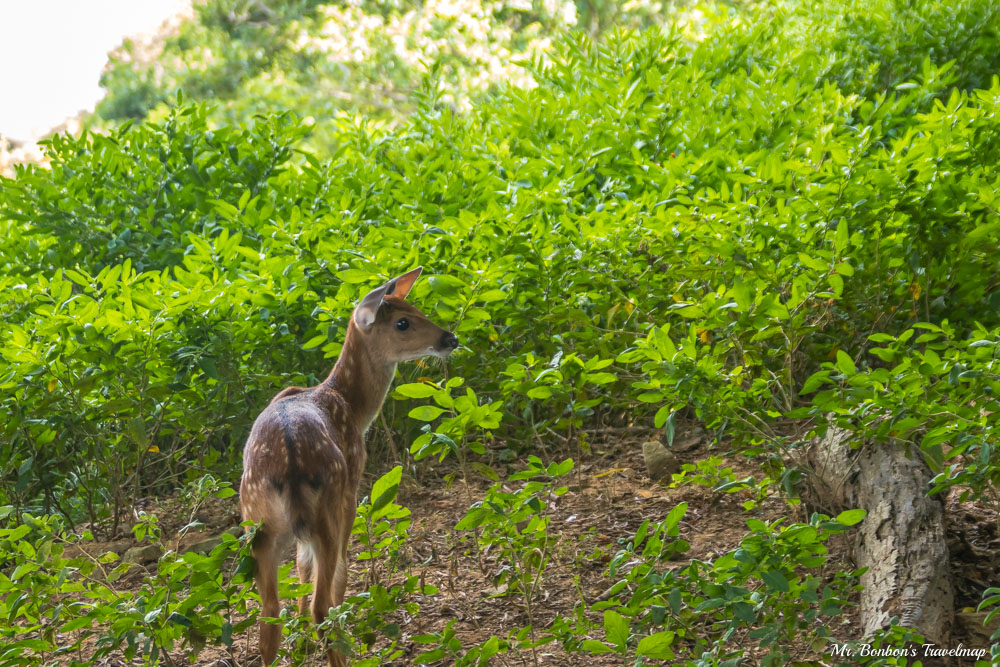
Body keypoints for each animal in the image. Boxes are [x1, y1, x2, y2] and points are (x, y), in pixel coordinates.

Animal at [240, 268, 458, 664]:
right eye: (402, 323)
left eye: (417, 308)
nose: (451, 338)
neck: (353, 407)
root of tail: (289, 467)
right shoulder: (353, 486)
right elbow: (339, 573)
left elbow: (302, 568)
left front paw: (302, 643)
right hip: (328, 505)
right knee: (322, 602)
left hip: (255, 521)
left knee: (269, 612)